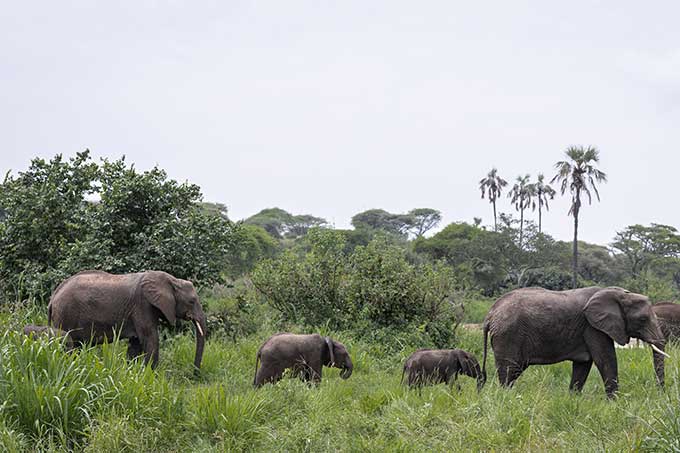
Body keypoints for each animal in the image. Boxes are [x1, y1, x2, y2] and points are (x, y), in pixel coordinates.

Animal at [48, 268, 207, 368]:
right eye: (192, 301)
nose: (194, 374)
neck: (172, 280)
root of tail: (53, 298)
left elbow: (135, 343)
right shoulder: (142, 305)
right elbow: (150, 339)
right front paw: (151, 375)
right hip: (65, 314)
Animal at [480, 286, 668, 396]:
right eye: (643, 319)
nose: (661, 394)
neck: (620, 294)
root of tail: (490, 314)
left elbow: (583, 365)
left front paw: (573, 399)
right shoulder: (593, 327)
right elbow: (605, 359)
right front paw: (615, 403)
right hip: (508, 335)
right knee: (509, 370)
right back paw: (506, 397)